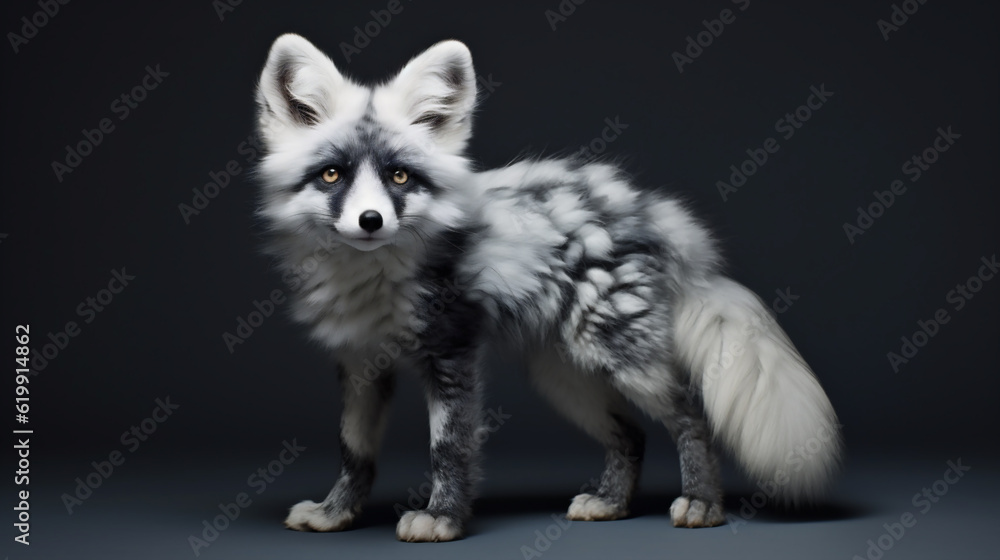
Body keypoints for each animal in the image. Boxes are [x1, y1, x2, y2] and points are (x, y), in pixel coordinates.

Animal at [253, 34, 842, 542]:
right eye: (332, 175)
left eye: (400, 177)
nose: (371, 221)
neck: (370, 281)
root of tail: (658, 216)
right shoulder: (359, 363)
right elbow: (353, 453)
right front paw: (336, 514)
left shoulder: (450, 354)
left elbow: (448, 448)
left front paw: (442, 519)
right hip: (564, 376)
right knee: (632, 434)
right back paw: (611, 504)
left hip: (624, 363)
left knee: (691, 419)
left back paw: (702, 504)